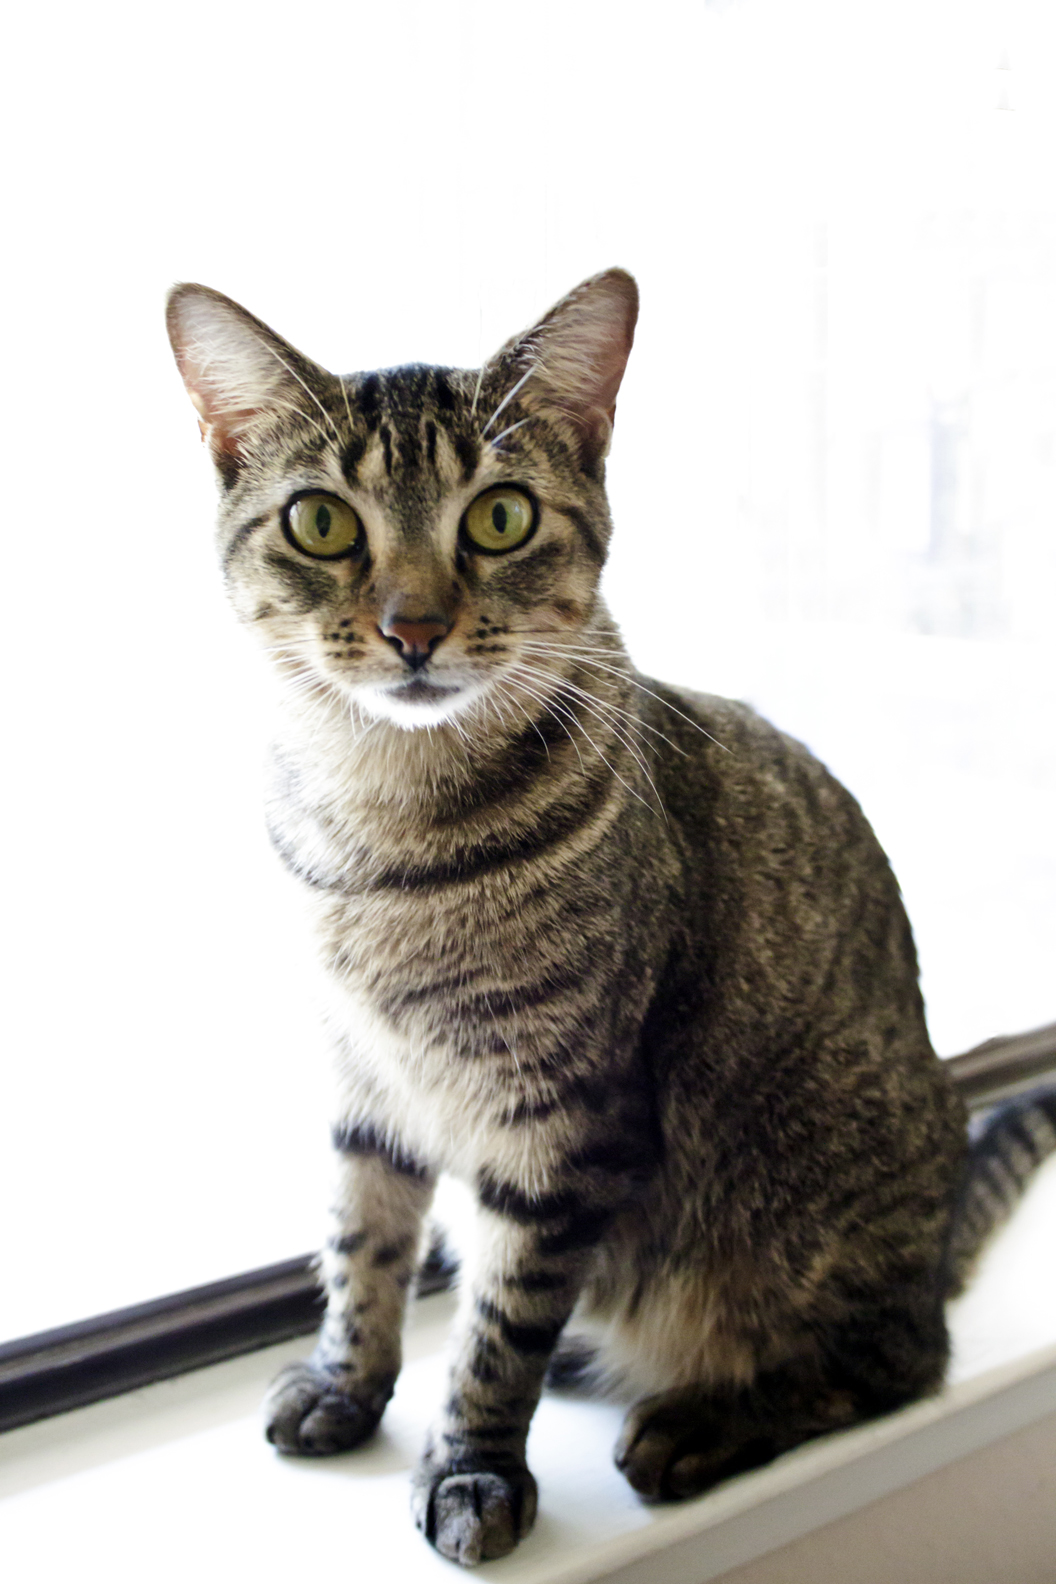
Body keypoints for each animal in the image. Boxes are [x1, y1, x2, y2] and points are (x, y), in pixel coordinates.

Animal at [165, 275, 1056, 1571]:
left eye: (499, 518)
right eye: (322, 525)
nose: (412, 627)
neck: (382, 823)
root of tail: (935, 1245)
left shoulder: (559, 1124)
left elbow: (495, 1334)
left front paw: (473, 1471)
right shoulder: (365, 1085)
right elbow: (362, 1248)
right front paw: (348, 1382)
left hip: (806, 1204)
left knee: (894, 1362)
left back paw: (702, 1419)